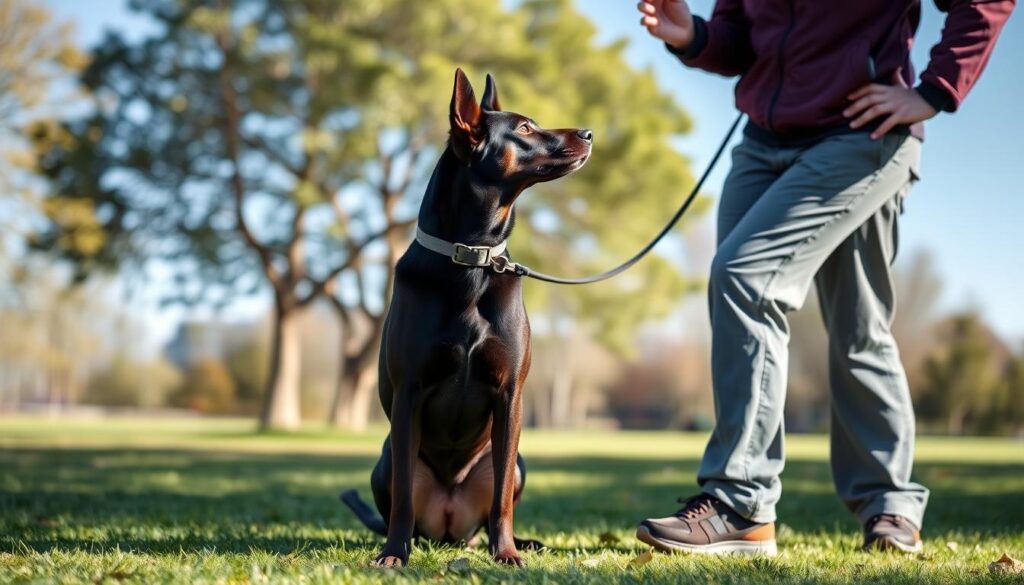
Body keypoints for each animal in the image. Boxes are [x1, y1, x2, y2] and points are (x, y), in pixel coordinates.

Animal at [337, 68, 593, 569]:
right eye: (525, 128)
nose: (589, 133)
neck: (473, 256)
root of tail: (450, 527)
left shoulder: (510, 395)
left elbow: (501, 500)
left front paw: (508, 553)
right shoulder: (409, 392)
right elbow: (402, 500)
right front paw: (393, 554)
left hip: (514, 464)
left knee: (494, 504)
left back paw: (513, 542)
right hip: (385, 461)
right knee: (404, 500)